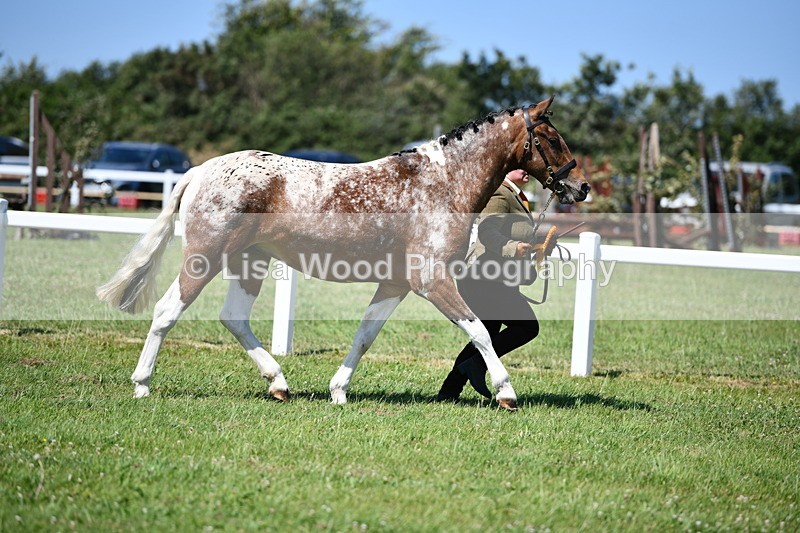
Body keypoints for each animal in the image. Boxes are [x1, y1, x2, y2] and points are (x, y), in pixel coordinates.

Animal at [97, 96, 590, 411]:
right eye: (552, 137)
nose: (580, 185)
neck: (443, 183)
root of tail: (200, 170)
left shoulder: (396, 283)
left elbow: (364, 335)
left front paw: (338, 390)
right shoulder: (431, 281)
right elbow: (481, 332)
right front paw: (506, 393)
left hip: (249, 261)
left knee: (233, 318)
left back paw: (279, 384)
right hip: (205, 258)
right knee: (167, 311)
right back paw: (142, 385)